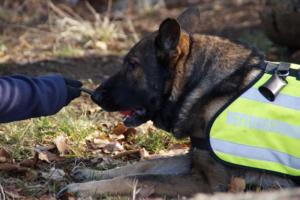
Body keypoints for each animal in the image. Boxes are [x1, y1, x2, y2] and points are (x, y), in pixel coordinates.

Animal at [57, 7, 296, 198]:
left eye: (132, 65)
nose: (94, 96)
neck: (201, 84)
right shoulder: (192, 160)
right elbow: (145, 164)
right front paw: (93, 174)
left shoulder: (209, 183)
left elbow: (141, 178)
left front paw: (83, 189)